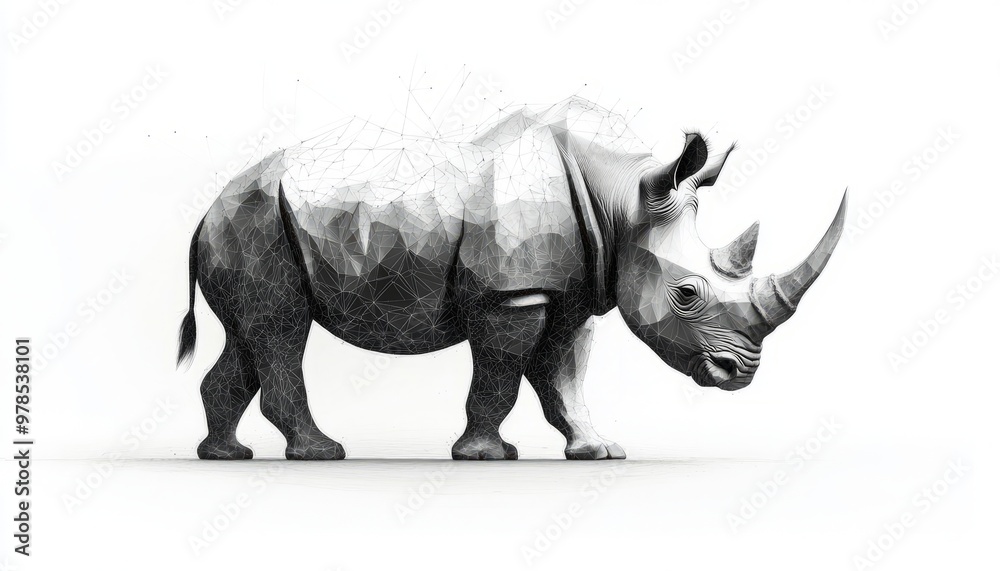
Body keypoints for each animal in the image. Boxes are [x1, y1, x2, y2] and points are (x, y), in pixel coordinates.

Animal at [177, 98, 846, 460]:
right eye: (686, 295)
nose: (740, 375)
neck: (624, 199)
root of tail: (204, 212)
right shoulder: (513, 294)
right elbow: (500, 376)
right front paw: (486, 455)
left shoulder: (575, 292)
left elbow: (565, 376)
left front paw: (598, 450)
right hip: (259, 221)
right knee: (282, 328)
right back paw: (322, 453)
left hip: (250, 224)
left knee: (251, 335)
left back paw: (226, 456)